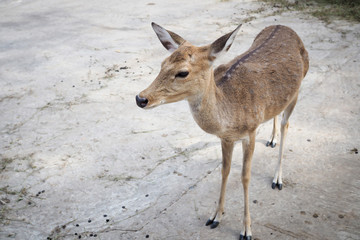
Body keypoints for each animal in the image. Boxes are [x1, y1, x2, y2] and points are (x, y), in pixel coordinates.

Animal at [136, 22, 310, 240]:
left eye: (183, 72)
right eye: (162, 64)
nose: (141, 98)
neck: (230, 114)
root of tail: (283, 25)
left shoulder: (250, 132)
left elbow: (245, 177)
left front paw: (246, 230)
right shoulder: (226, 138)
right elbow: (224, 171)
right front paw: (215, 217)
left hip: (298, 88)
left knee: (287, 124)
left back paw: (277, 179)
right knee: (277, 113)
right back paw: (272, 139)